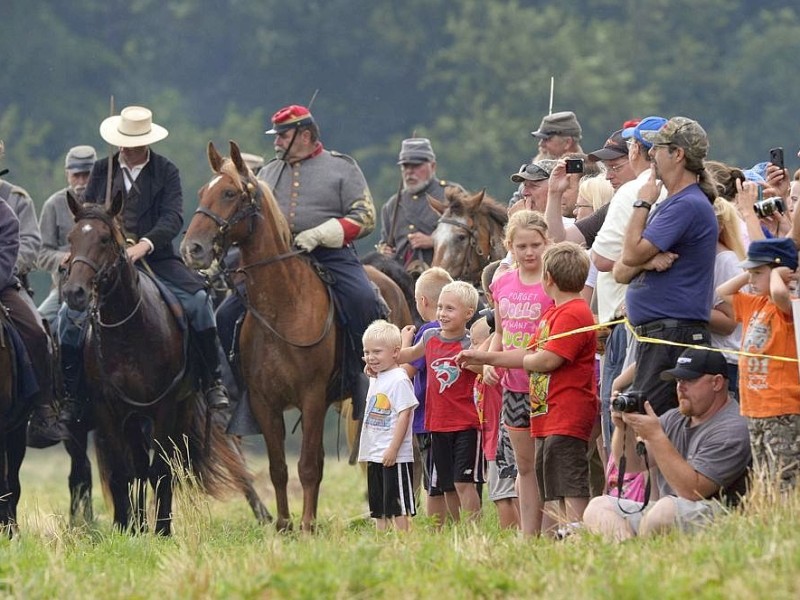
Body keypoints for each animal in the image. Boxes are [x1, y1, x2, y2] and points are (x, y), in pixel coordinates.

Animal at [63, 192, 268, 536]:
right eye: (71, 238)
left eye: (105, 239)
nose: (74, 293)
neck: (127, 329)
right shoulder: (108, 409)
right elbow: (123, 471)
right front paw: (126, 527)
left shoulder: (165, 407)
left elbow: (160, 469)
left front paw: (162, 530)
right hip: (133, 418)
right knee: (135, 466)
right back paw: (137, 523)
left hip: (180, 411)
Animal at [182, 141, 412, 528]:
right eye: (202, 192)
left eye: (229, 193)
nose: (192, 249)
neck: (283, 305)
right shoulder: (264, 402)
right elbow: (278, 468)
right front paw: (285, 524)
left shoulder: (312, 396)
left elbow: (308, 465)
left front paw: (306, 524)